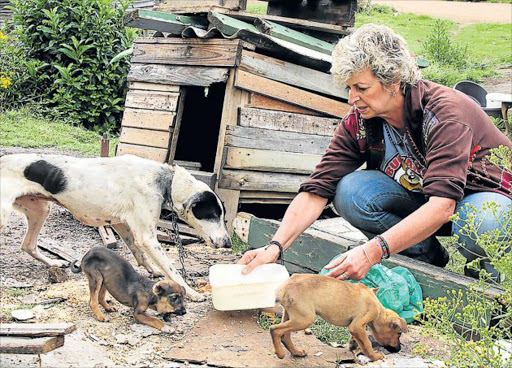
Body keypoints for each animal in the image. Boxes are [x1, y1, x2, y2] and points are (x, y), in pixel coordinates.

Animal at [0, 154, 232, 300]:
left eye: (222, 215)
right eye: (212, 214)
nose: (229, 243)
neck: (166, 181)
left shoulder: (122, 224)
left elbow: (138, 253)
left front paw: (152, 270)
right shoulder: (147, 236)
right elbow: (172, 269)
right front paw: (191, 292)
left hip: (40, 210)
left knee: (28, 245)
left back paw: (53, 262)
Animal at [270, 274, 406, 360]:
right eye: (399, 333)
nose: (399, 349)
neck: (378, 308)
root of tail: (284, 286)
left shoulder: (356, 327)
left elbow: (360, 340)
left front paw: (354, 345)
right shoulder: (357, 325)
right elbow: (367, 343)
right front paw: (374, 356)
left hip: (291, 315)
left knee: (285, 336)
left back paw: (296, 352)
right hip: (305, 319)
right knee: (275, 329)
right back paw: (280, 353)